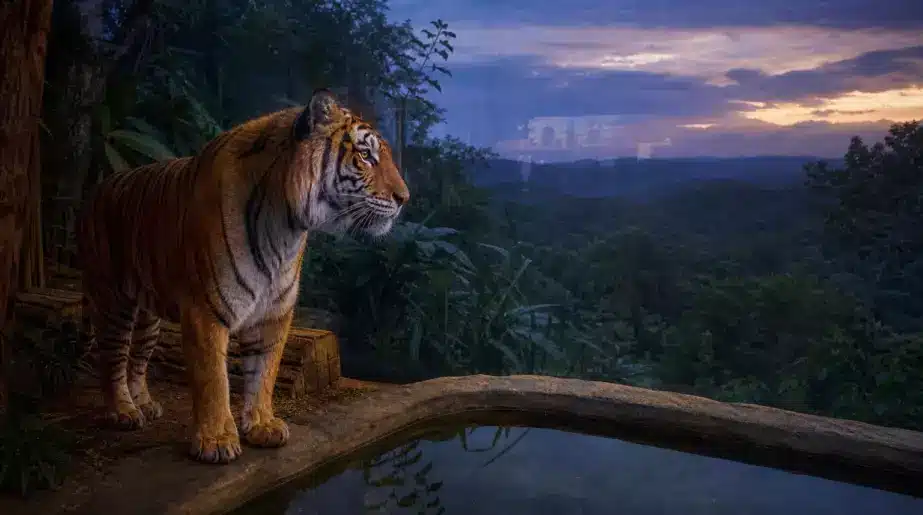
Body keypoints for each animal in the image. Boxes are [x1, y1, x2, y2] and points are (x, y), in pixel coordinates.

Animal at [76, 89, 409, 464]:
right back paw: (123, 411)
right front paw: (217, 441)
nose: (404, 198)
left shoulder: (274, 313)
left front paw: (262, 426)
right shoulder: (204, 309)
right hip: (112, 300)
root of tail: (96, 188)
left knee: (137, 358)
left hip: (148, 316)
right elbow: (213, 379)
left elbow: (264, 372)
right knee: (112, 358)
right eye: (366, 155)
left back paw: (144, 404)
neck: (286, 228)